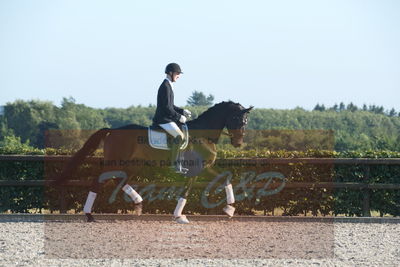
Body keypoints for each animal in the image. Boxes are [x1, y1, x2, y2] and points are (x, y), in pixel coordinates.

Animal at [55, 100, 253, 224]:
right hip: (116, 163)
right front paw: (178, 216)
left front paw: (230, 209)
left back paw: (138, 203)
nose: (238, 143)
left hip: (132, 164)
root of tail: (113, 130)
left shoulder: (207, 167)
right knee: (99, 181)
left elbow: (225, 178)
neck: (203, 135)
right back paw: (89, 215)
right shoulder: (196, 169)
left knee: (120, 180)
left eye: (245, 121)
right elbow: (186, 191)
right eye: (237, 119)